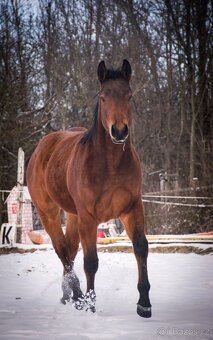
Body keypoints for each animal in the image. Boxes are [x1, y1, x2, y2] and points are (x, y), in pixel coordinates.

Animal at [26, 59, 151, 318]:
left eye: (129, 95)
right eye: (103, 97)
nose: (119, 131)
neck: (110, 165)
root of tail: (43, 146)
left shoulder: (132, 208)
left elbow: (140, 247)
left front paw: (144, 304)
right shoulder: (89, 217)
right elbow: (91, 261)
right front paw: (90, 304)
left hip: (73, 216)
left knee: (70, 250)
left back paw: (68, 296)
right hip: (49, 214)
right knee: (63, 252)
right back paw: (77, 296)